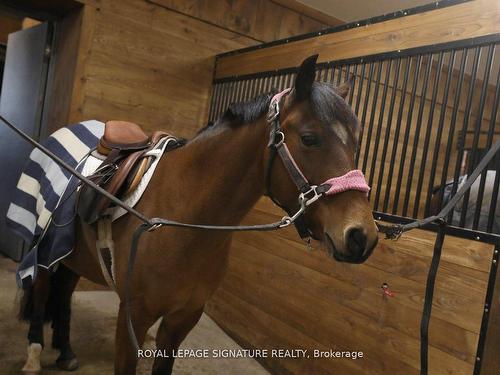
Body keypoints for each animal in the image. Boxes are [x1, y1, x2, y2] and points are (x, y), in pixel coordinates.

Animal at [19, 54, 378, 374]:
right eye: (309, 138)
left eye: (356, 142)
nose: (362, 237)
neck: (185, 219)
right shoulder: (134, 315)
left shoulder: (183, 318)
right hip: (45, 249)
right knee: (41, 293)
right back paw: (34, 354)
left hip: (72, 254)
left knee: (64, 293)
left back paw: (65, 351)